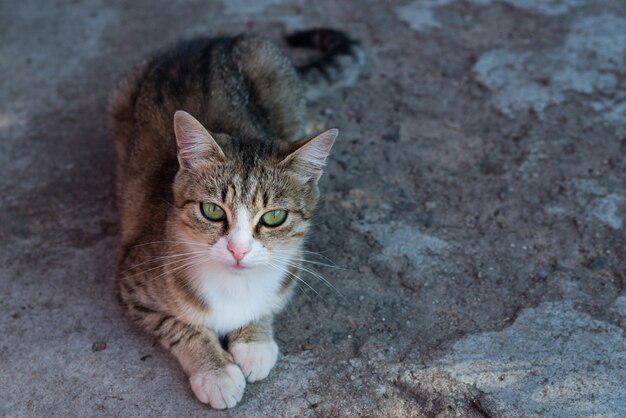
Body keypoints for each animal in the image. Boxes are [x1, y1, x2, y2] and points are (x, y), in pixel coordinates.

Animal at [107, 29, 360, 408]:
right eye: (212, 210)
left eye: (274, 217)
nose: (238, 250)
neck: (234, 286)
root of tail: (212, 39)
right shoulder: (132, 281)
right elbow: (180, 326)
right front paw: (216, 371)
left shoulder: (290, 267)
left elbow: (267, 302)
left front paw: (254, 340)